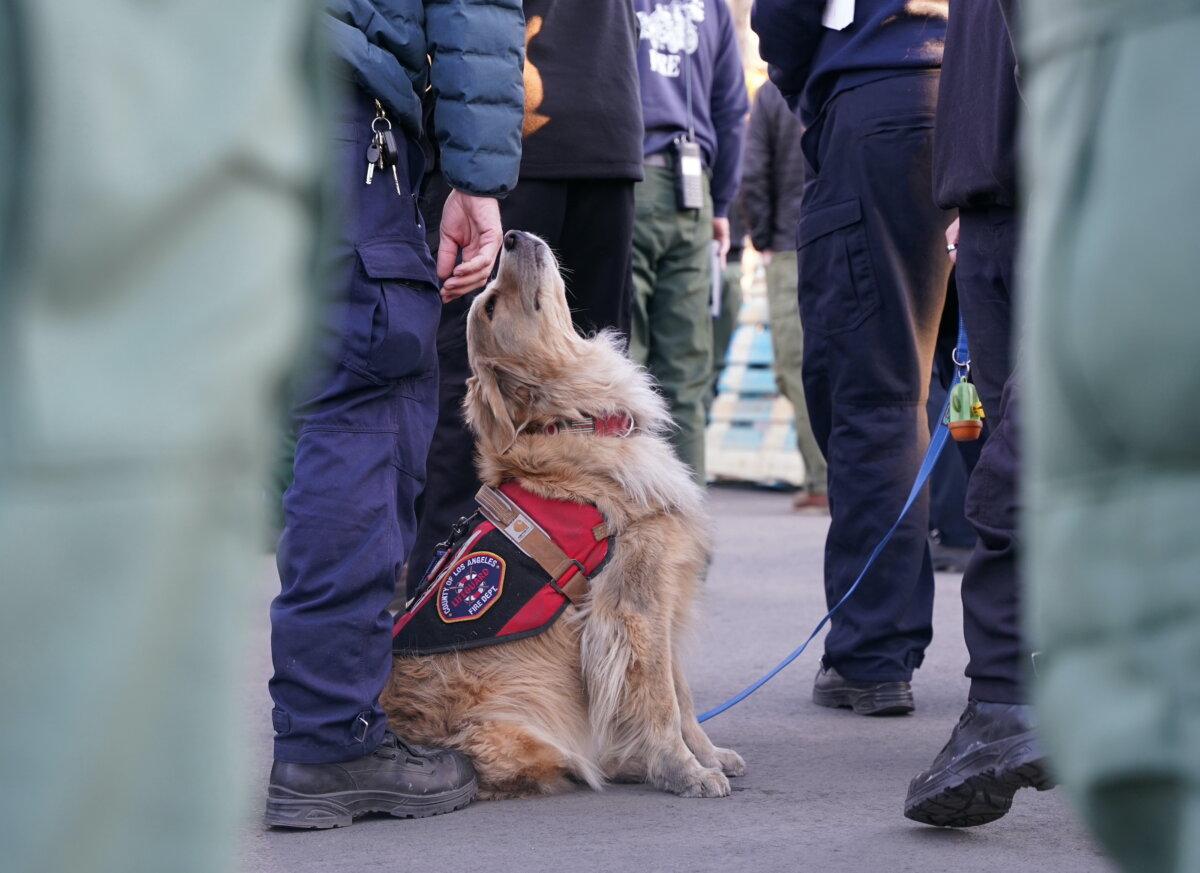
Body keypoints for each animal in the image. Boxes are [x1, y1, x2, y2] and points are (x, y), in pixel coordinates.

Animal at [381, 230, 739, 796]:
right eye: (490, 306)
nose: (509, 236)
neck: (574, 422)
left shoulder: (663, 597)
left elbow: (682, 699)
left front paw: (707, 756)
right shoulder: (635, 607)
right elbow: (660, 701)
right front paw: (682, 770)